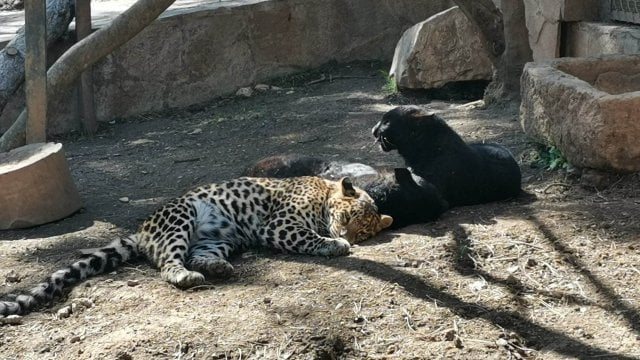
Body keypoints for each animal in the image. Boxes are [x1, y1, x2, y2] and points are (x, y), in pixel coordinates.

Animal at [0, 176, 392, 316]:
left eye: (364, 231)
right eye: (349, 217)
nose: (349, 236)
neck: (323, 191)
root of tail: (141, 231)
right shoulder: (279, 225)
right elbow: (310, 237)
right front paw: (336, 245)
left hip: (218, 239)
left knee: (197, 256)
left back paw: (216, 268)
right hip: (182, 215)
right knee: (167, 264)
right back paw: (185, 276)